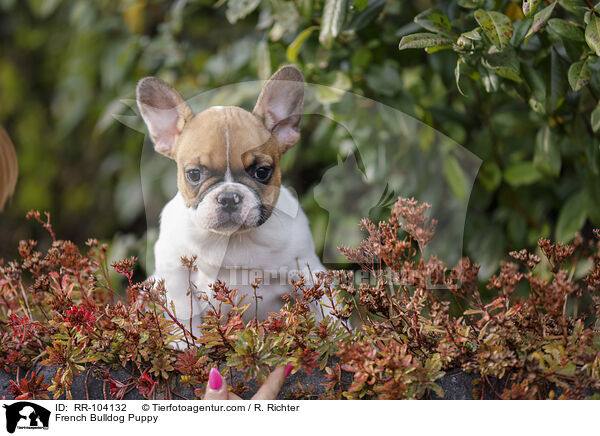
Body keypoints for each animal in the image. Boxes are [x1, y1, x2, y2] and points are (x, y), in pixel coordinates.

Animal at [137, 65, 328, 330]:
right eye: (194, 174)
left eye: (262, 172)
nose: (229, 197)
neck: (233, 239)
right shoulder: (174, 277)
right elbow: (185, 324)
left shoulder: (308, 271)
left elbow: (328, 313)